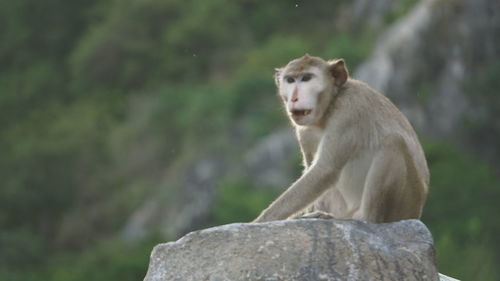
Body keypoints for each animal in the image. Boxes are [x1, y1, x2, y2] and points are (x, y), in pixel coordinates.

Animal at [254, 53, 430, 222]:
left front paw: (262, 220)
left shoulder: (349, 111)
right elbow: (314, 169)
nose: (294, 98)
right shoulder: (304, 130)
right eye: (290, 80)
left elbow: (324, 170)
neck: (329, 107)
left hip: (405, 203)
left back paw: (367, 218)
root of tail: (417, 212)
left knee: (394, 142)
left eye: (306, 78)